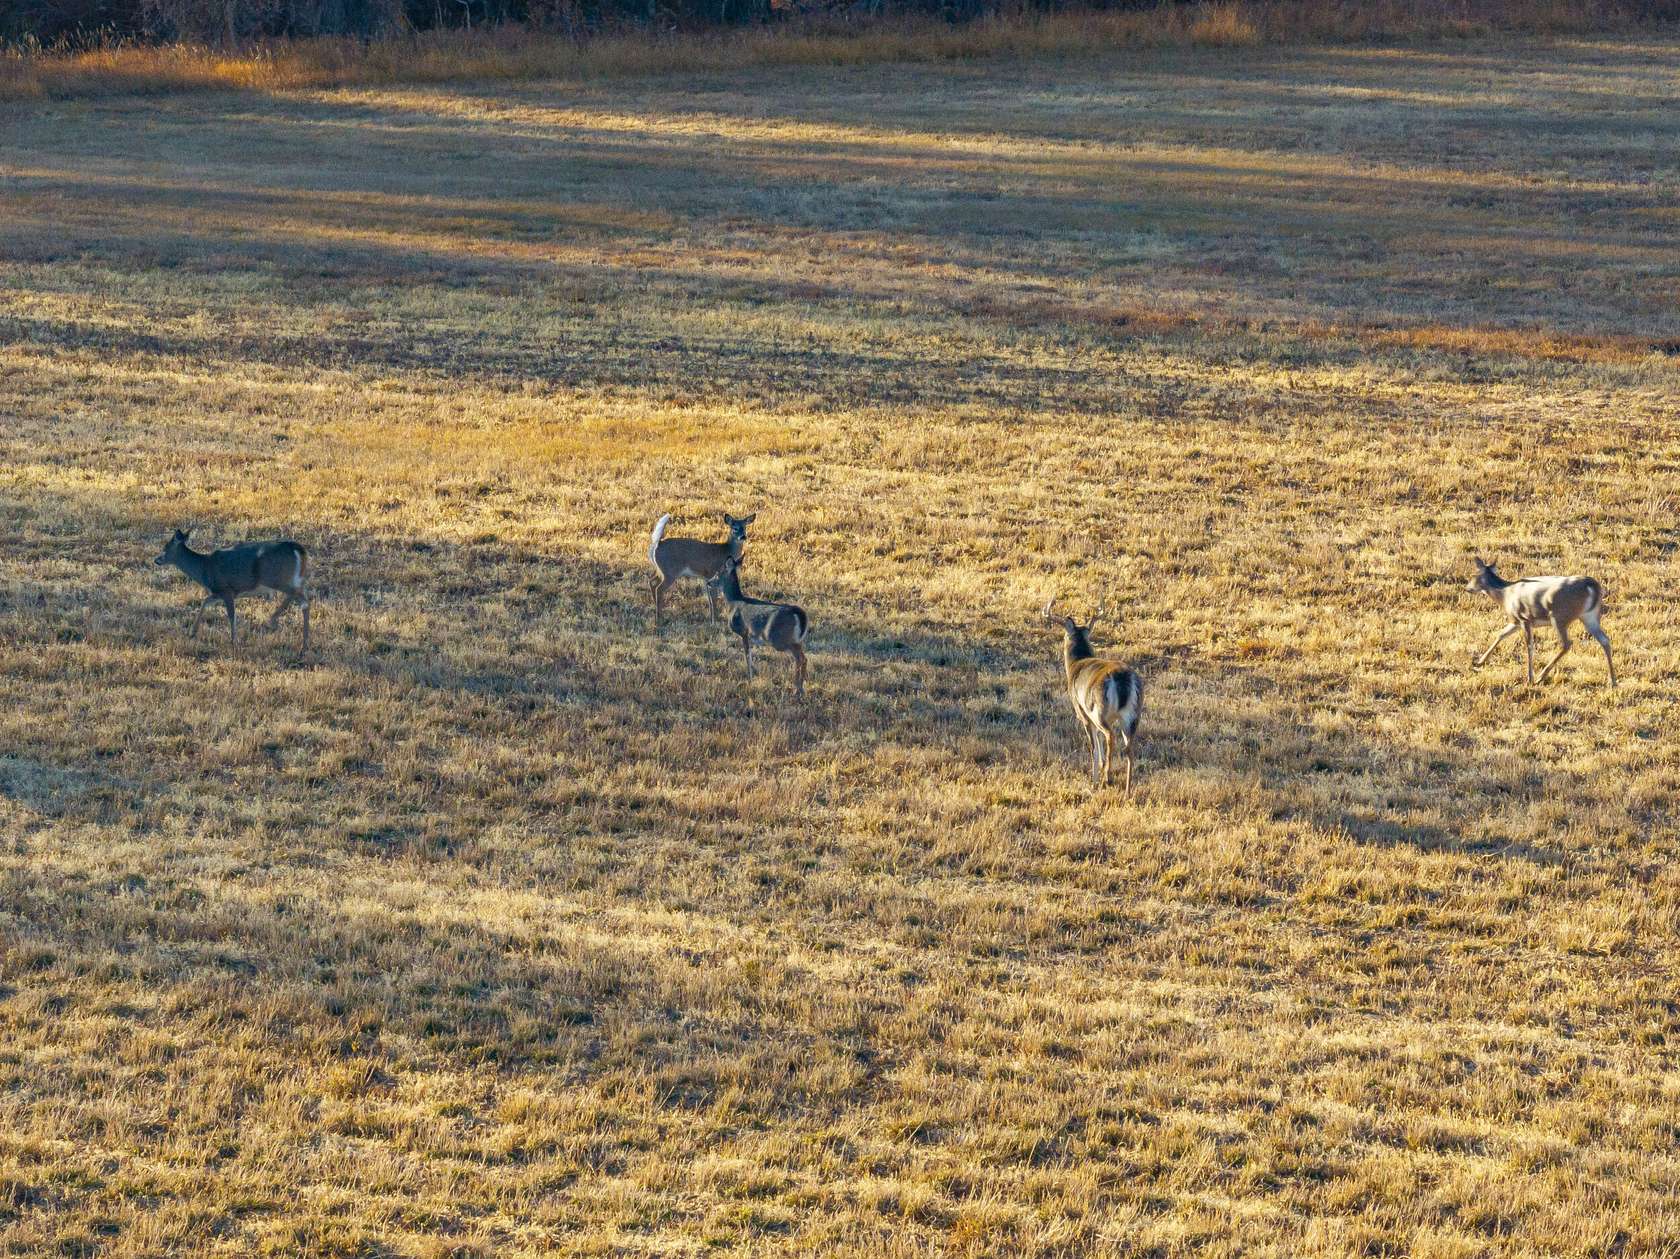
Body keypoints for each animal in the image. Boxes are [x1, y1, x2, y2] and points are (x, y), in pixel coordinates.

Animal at [152, 524, 314, 652]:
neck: (205, 568)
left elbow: (231, 615)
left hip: (276, 578)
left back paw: (274, 621)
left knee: (300, 597)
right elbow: (205, 602)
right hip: (293, 578)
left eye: (166, 548)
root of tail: (298, 549)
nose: (156, 560)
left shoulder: (226, 589)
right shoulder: (218, 592)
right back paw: (303, 643)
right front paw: (192, 632)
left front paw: (233, 641)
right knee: (303, 599)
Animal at [705, 554, 809, 702]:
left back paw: (797, 690)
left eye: (718, 573)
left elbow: (747, 654)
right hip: (795, 639)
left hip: (779, 639)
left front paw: (749, 679)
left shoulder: (743, 631)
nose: (708, 582)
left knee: (800, 658)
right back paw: (801, 689)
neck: (733, 603)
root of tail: (799, 614)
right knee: (803, 657)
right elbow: (750, 654)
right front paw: (753, 675)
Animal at [1034, 595, 1142, 790]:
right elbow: (1097, 743)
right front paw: (1100, 770)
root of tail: (1123, 679)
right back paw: (1127, 789)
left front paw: (1094, 781)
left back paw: (1107, 778)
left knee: (1110, 736)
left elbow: (1093, 747)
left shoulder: (1082, 711)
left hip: (1099, 710)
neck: (1076, 664)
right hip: (1132, 715)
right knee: (1129, 746)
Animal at [1471, 551, 1612, 689]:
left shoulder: (1524, 618)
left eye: (1473, 575)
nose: (1468, 588)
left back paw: (1540, 677)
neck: (1505, 595)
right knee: (1604, 640)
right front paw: (1480, 661)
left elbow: (1529, 646)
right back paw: (1613, 681)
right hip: (1589, 616)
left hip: (1560, 616)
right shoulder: (1516, 621)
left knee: (1566, 643)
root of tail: (1592, 586)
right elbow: (1501, 634)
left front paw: (1530, 678)